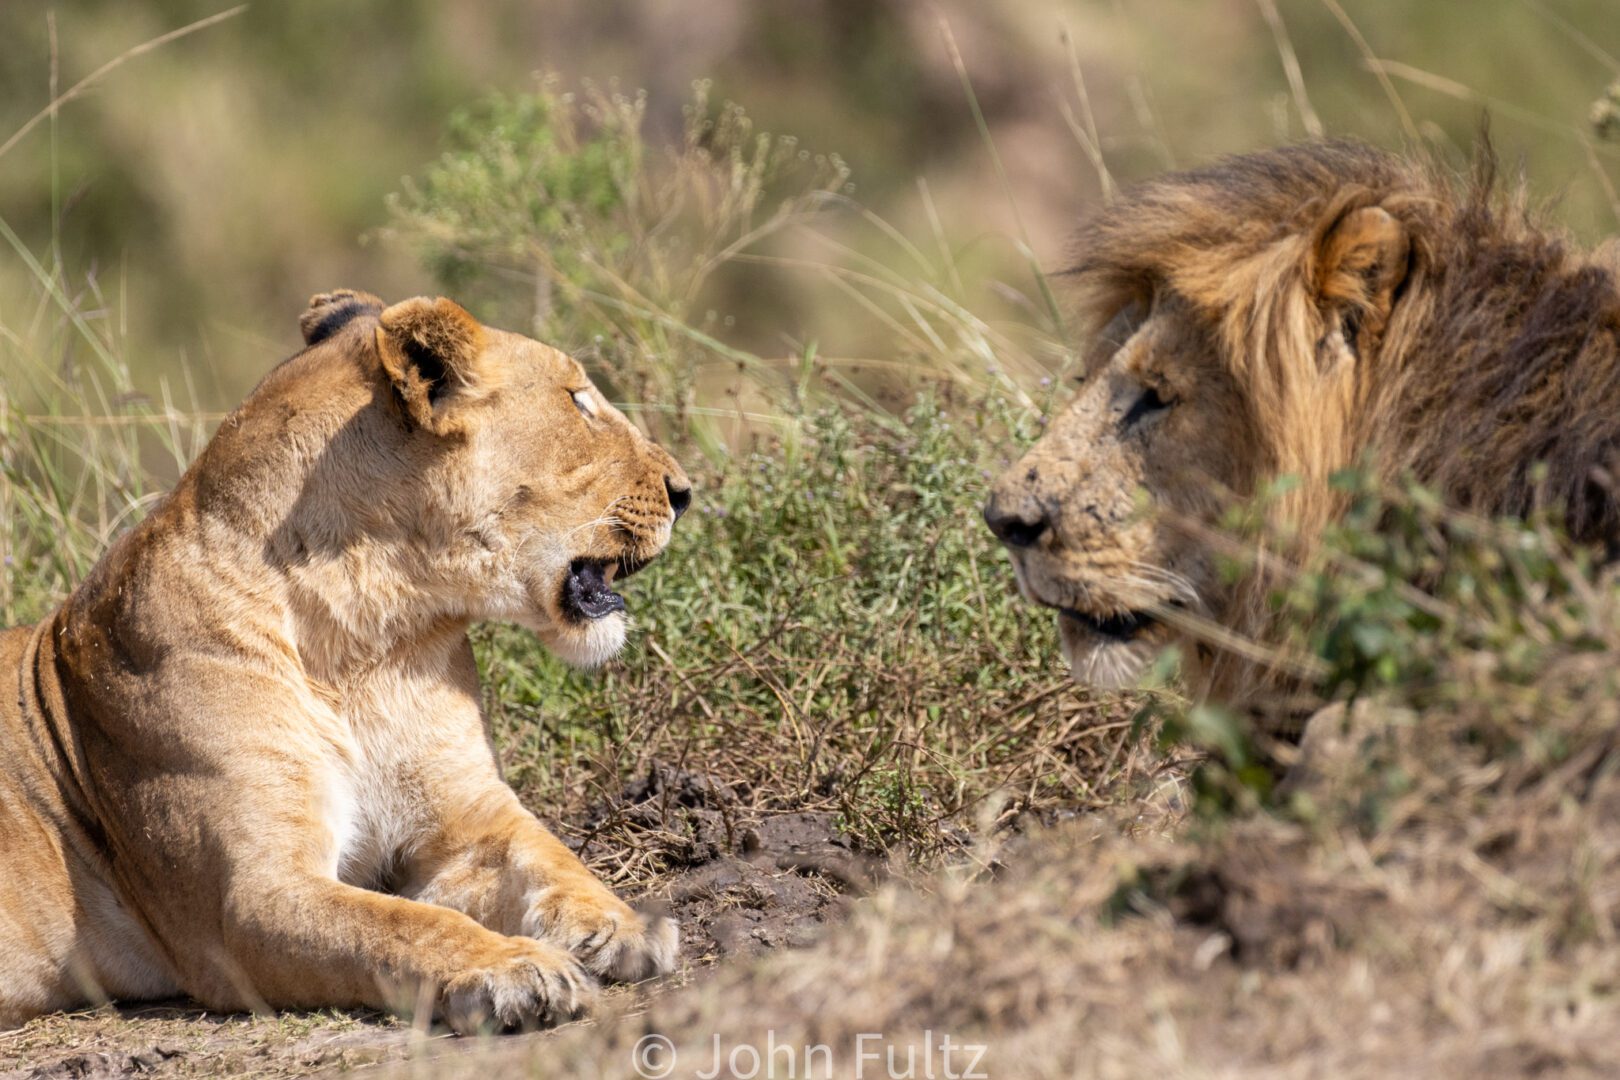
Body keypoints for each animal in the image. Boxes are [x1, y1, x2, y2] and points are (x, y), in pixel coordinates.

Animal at [0, 286, 690, 1029]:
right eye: (579, 401)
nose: (685, 491)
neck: (370, 637)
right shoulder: (248, 900)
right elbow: (402, 925)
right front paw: (517, 968)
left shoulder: (467, 817)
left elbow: (552, 858)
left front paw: (626, 925)